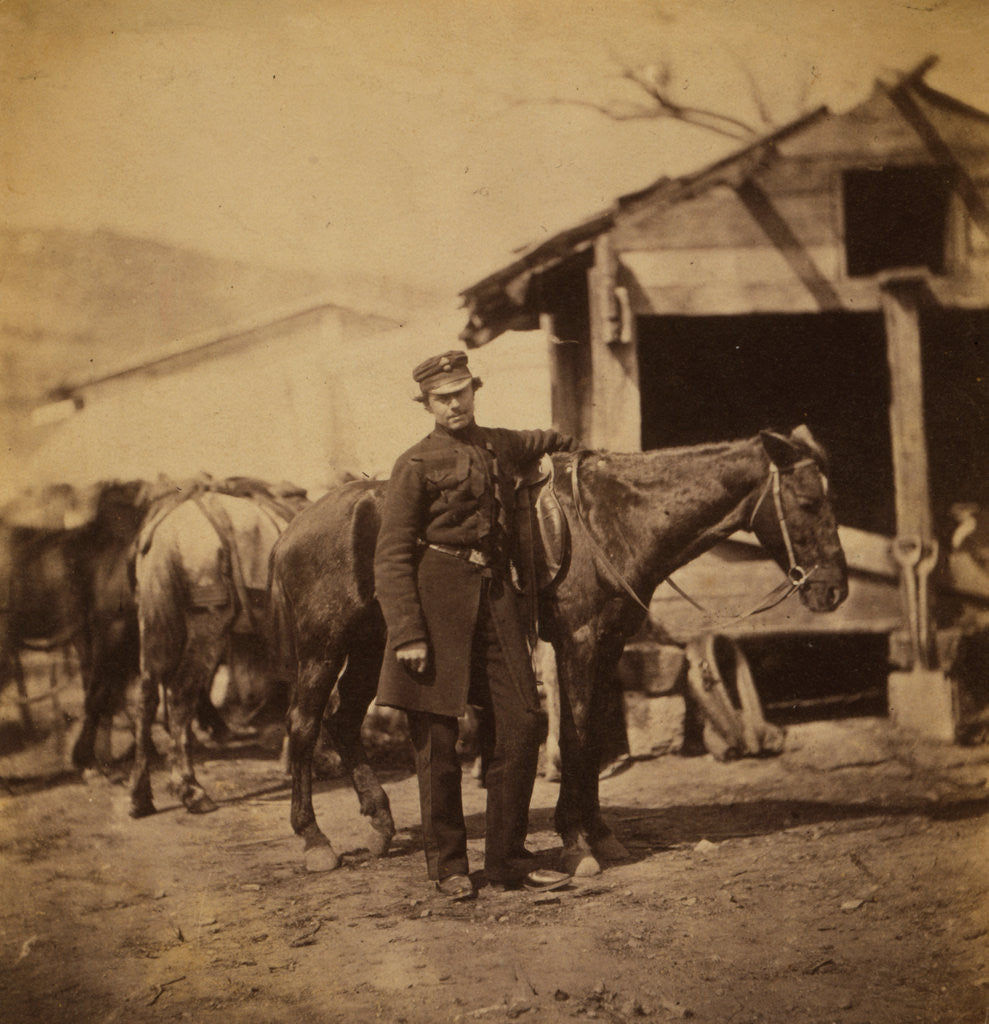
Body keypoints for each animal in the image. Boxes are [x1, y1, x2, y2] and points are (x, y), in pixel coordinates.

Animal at [270, 423, 851, 872]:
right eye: (808, 501)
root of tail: (291, 530)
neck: (611, 520)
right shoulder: (578, 641)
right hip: (324, 646)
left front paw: (599, 833)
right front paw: (576, 842)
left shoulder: (608, 646)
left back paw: (380, 824)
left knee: (343, 721)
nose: (834, 590)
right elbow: (577, 733)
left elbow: (589, 736)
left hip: (371, 645)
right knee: (303, 724)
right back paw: (315, 841)